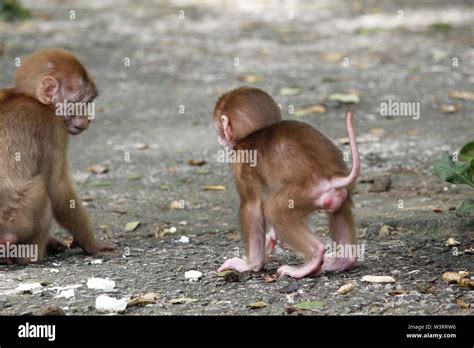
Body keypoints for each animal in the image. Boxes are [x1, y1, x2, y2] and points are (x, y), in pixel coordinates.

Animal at [0, 47, 115, 264]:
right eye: (81, 103)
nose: (88, 119)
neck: (27, 96)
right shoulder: (54, 126)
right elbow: (58, 190)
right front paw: (91, 244)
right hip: (18, 218)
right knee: (42, 188)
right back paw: (28, 257)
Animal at [213, 87, 362, 280]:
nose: (220, 140)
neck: (256, 132)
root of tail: (330, 179)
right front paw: (271, 237)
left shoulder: (240, 160)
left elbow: (252, 205)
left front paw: (250, 265)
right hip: (341, 192)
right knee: (340, 208)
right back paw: (342, 261)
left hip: (304, 194)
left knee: (273, 209)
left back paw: (311, 260)